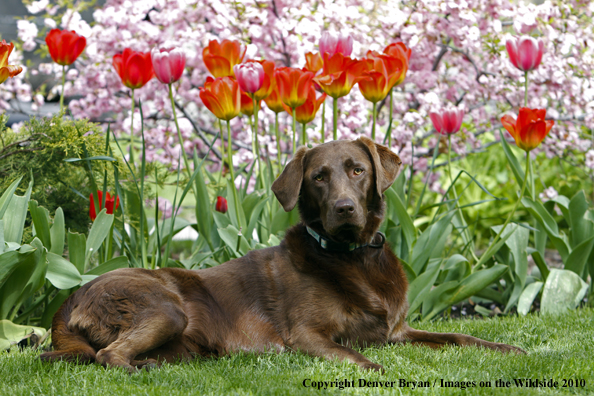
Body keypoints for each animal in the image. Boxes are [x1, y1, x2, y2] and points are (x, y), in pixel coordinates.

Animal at [40, 138, 524, 372]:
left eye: (357, 170)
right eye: (318, 178)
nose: (344, 208)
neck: (354, 258)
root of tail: (67, 301)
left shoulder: (397, 331)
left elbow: (459, 336)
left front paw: (505, 346)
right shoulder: (308, 335)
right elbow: (360, 358)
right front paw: (379, 370)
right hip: (163, 308)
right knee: (107, 356)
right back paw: (143, 371)